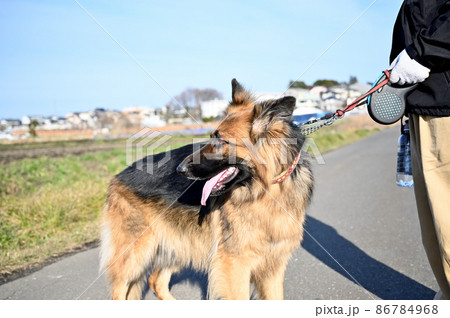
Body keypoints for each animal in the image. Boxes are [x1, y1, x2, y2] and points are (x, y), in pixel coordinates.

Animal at [100, 80, 314, 300]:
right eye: (211, 137)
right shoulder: (236, 266)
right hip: (136, 253)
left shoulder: (273, 267)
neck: (264, 191)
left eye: (221, 141)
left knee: (156, 280)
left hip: (178, 245)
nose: (180, 169)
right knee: (120, 289)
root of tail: (117, 176)